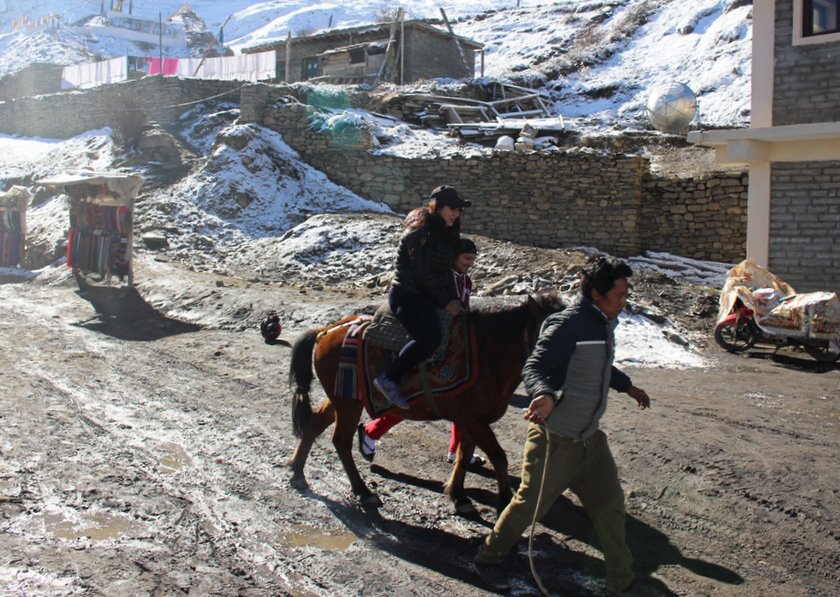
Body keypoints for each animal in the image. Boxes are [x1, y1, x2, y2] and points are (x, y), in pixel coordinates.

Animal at [288, 292, 564, 512]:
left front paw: (458, 495)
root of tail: (326, 331)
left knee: (314, 424)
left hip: (342, 399)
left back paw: (298, 474)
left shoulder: (468, 421)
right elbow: (498, 456)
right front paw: (504, 500)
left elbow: (464, 454)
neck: (487, 354)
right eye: (547, 332)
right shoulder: (473, 420)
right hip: (348, 405)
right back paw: (364, 492)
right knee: (341, 441)